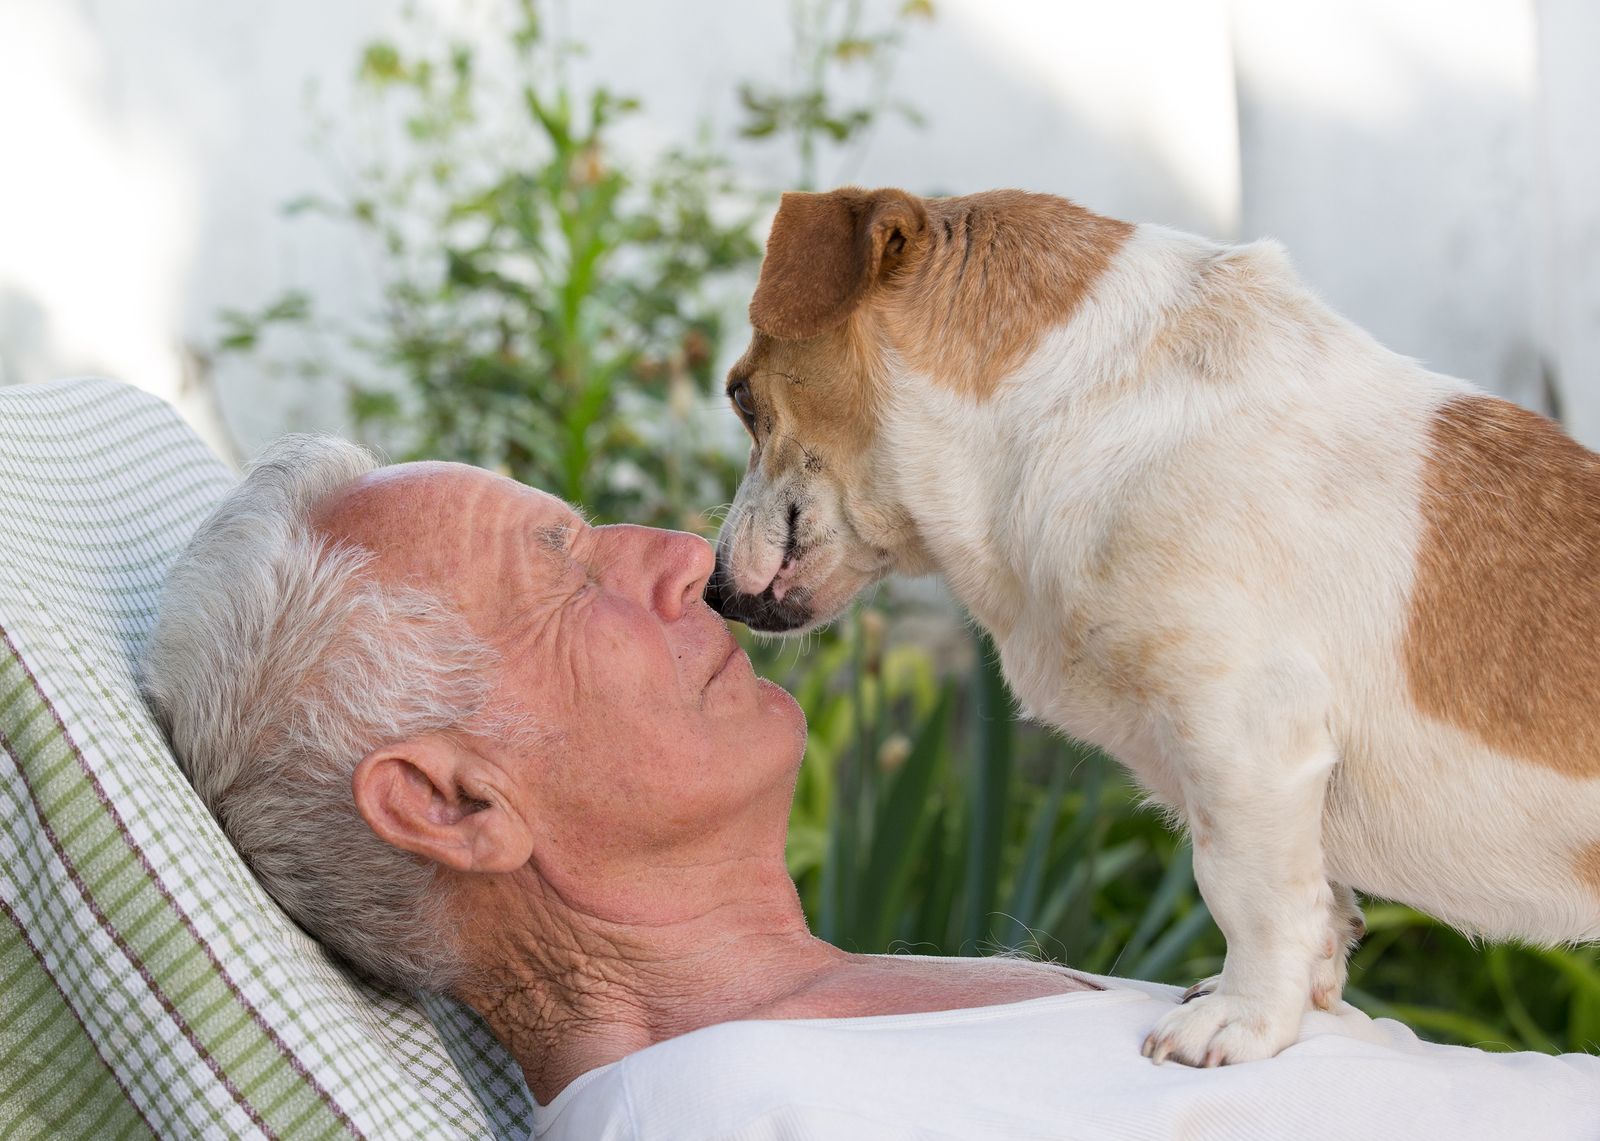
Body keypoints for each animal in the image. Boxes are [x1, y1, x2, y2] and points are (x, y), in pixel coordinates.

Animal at [707, 187, 1600, 1068]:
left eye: (741, 397)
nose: (714, 591)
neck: (1088, 407)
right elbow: (1321, 909)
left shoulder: (1247, 741)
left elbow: (1249, 892)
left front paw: (1243, 1018)